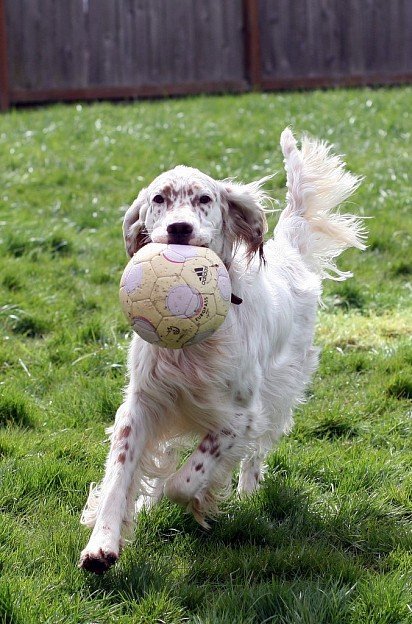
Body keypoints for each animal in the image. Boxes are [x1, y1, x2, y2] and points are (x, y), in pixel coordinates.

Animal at [79, 128, 366, 576]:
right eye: (158, 199)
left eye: (204, 199)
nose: (179, 228)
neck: (190, 348)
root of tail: (289, 249)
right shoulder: (143, 404)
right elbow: (121, 476)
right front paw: (102, 544)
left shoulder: (241, 418)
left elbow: (184, 481)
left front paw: (196, 499)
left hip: (281, 390)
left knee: (258, 450)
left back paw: (249, 488)